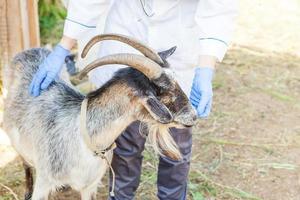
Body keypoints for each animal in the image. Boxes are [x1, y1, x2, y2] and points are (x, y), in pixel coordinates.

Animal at [4, 34, 198, 200]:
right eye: (162, 91)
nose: (194, 116)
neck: (85, 138)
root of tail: (31, 49)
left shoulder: (89, 186)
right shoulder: (45, 182)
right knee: (25, 162)